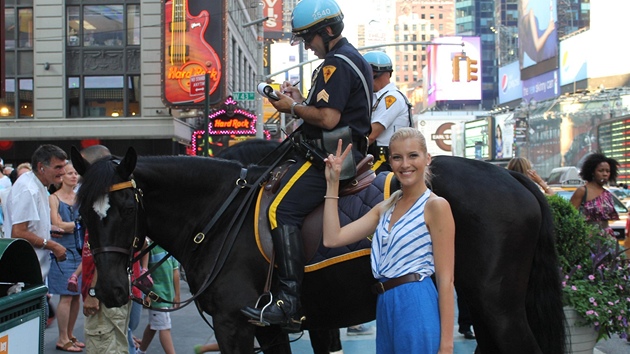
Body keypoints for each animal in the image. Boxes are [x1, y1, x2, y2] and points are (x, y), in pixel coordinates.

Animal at [73, 145, 568, 352]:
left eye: (125, 207)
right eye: (82, 214)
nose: (112, 291)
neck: (217, 215)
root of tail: (512, 175)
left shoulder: (235, 325)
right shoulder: (266, 330)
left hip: (498, 305)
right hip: (479, 304)